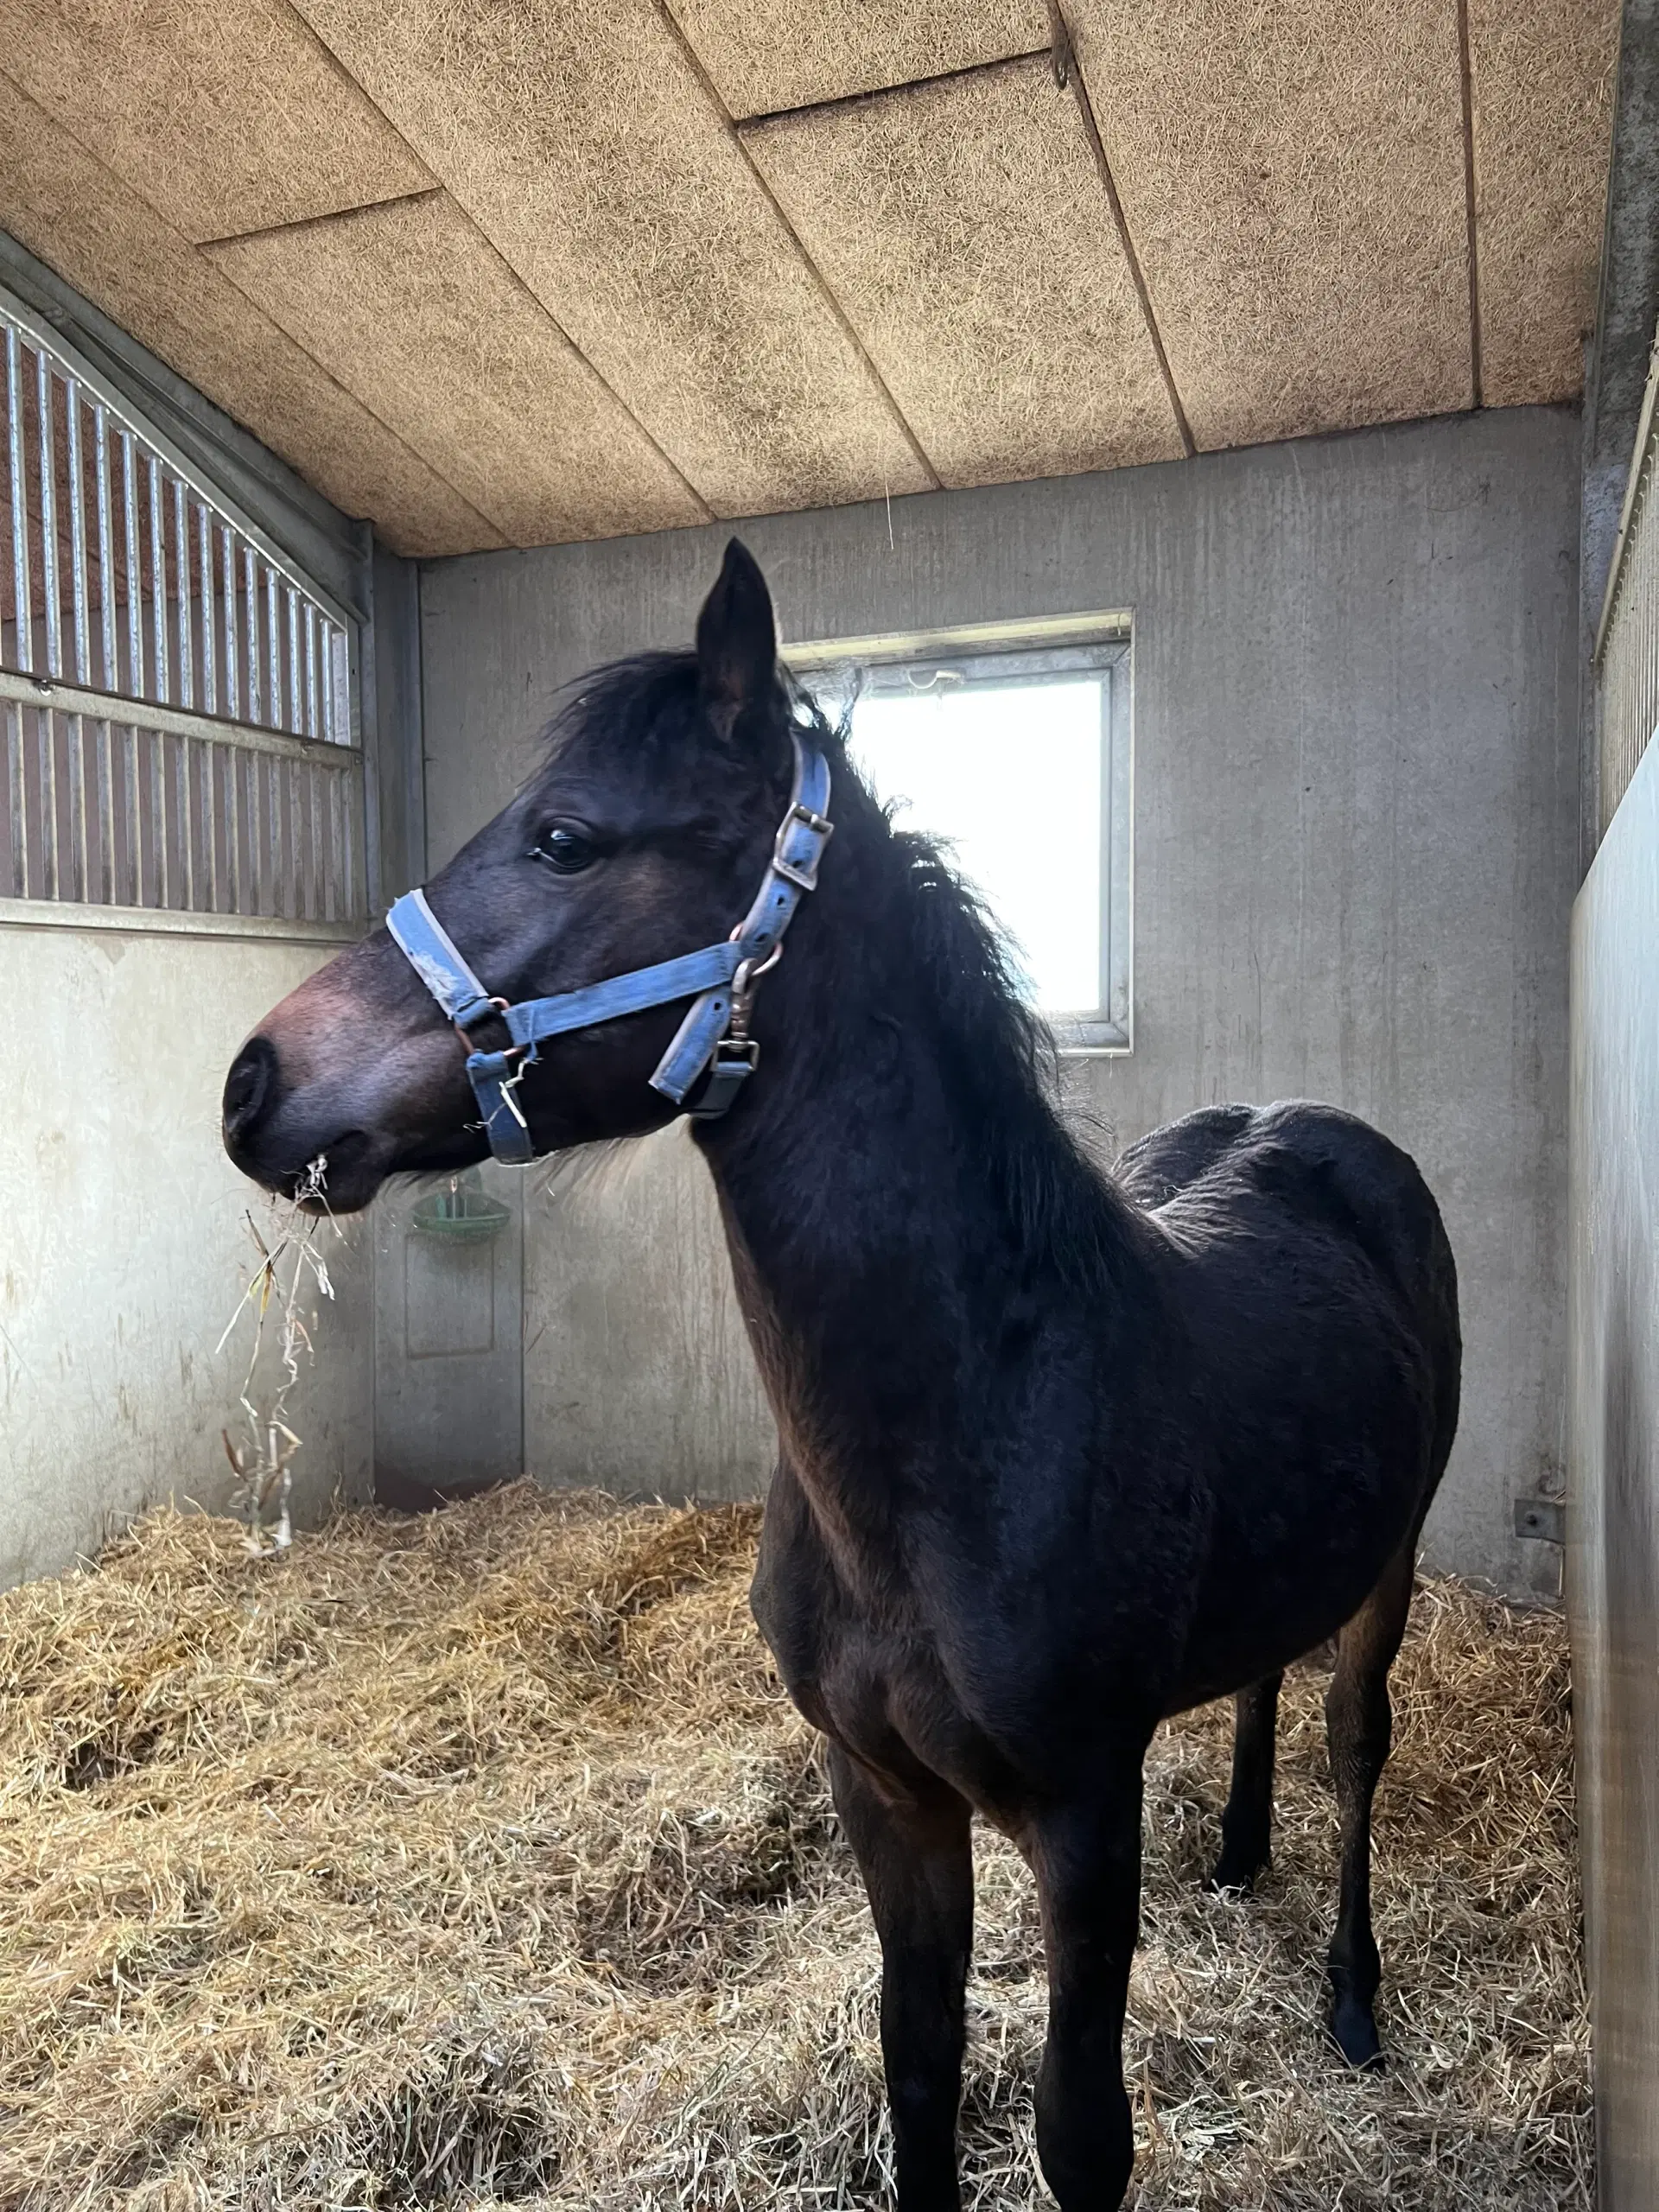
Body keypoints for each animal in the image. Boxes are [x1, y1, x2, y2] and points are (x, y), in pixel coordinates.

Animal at [227, 539, 1459, 2212]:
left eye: (565, 838)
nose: (255, 1081)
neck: (973, 1431)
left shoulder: (1084, 1820)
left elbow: (1081, 2135)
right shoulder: (881, 1794)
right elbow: (917, 2073)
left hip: (1394, 1564)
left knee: (1355, 1742)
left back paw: (1350, 1992)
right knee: (1267, 1673)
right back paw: (1241, 1854)